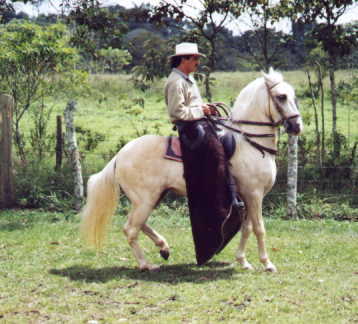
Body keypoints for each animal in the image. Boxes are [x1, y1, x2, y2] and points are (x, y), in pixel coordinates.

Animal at [80, 67, 302, 270]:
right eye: (281, 97)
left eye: (292, 95)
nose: (296, 126)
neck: (249, 142)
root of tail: (120, 155)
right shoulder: (254, 194)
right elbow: (258, 228)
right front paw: (267, 264)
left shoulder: (250, 197)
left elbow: (246, 228)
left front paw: (243, 261)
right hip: (145, 199)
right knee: (130, 229)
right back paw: (146, 264)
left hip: (152, 197)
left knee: (138, 224)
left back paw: (163, 247)